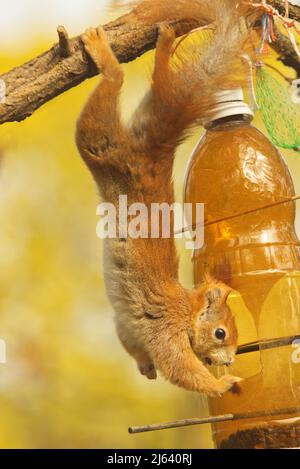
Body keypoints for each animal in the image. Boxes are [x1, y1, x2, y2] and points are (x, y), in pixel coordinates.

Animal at [75, 0, 251, 394]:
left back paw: (166, 45)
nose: (228, 361)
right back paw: (106, 57)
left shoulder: (129, 328)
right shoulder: (166, 328)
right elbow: (180, 368)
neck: (187, 309)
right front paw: (223, 383)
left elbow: (131, 344)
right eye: (220, 333)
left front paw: (145, 368)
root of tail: (153, 152)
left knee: (160, 84)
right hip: (100, 143)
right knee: (108, 95)